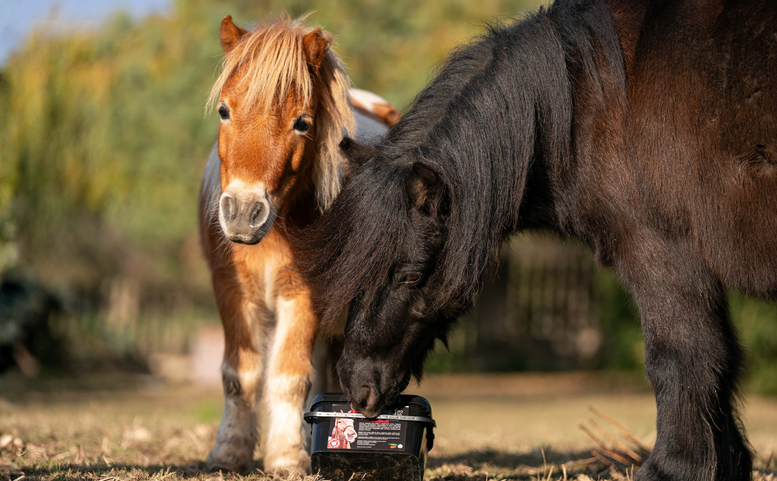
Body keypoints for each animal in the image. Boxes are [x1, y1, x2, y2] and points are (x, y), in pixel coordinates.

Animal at [198, 15, 398, 475]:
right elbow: (240, 374)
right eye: (224, 110)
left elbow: (289, 377)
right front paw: (229, 452)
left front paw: (287, 456)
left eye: (302, 123)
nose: (243, 212)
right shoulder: (231, 291)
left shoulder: (303, 295)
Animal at [295, 1, 777, 480]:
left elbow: (682, 358)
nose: (357, 388)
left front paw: (672, 468)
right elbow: (722, 363)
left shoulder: (661, 255)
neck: (595, 104)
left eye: (411, 277)